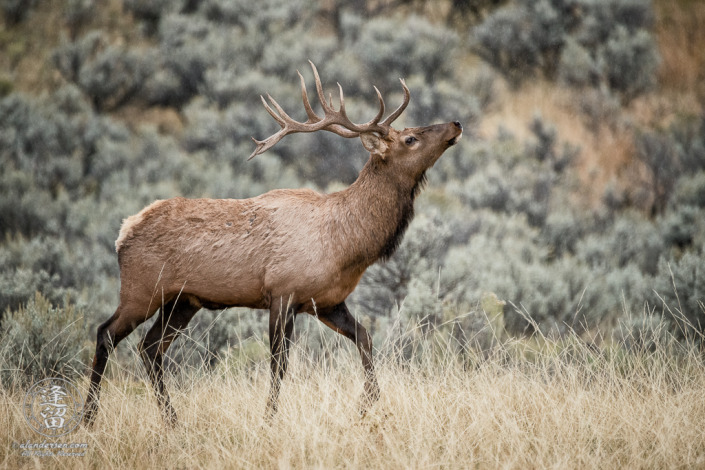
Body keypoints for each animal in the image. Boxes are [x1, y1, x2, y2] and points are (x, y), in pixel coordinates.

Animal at [82, 61, 462, 426]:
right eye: (411, 138)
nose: (456, 123)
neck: (346, 243)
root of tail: (124, 232)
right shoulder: (283, 293)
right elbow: (279, 365)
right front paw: (269, 419)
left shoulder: (327, 301)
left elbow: (365, 337)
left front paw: (368, 402)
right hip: (141, 290)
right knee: (106, 334)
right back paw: (88, 418)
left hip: (182, 301)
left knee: (150, 348)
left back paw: (172, 420)